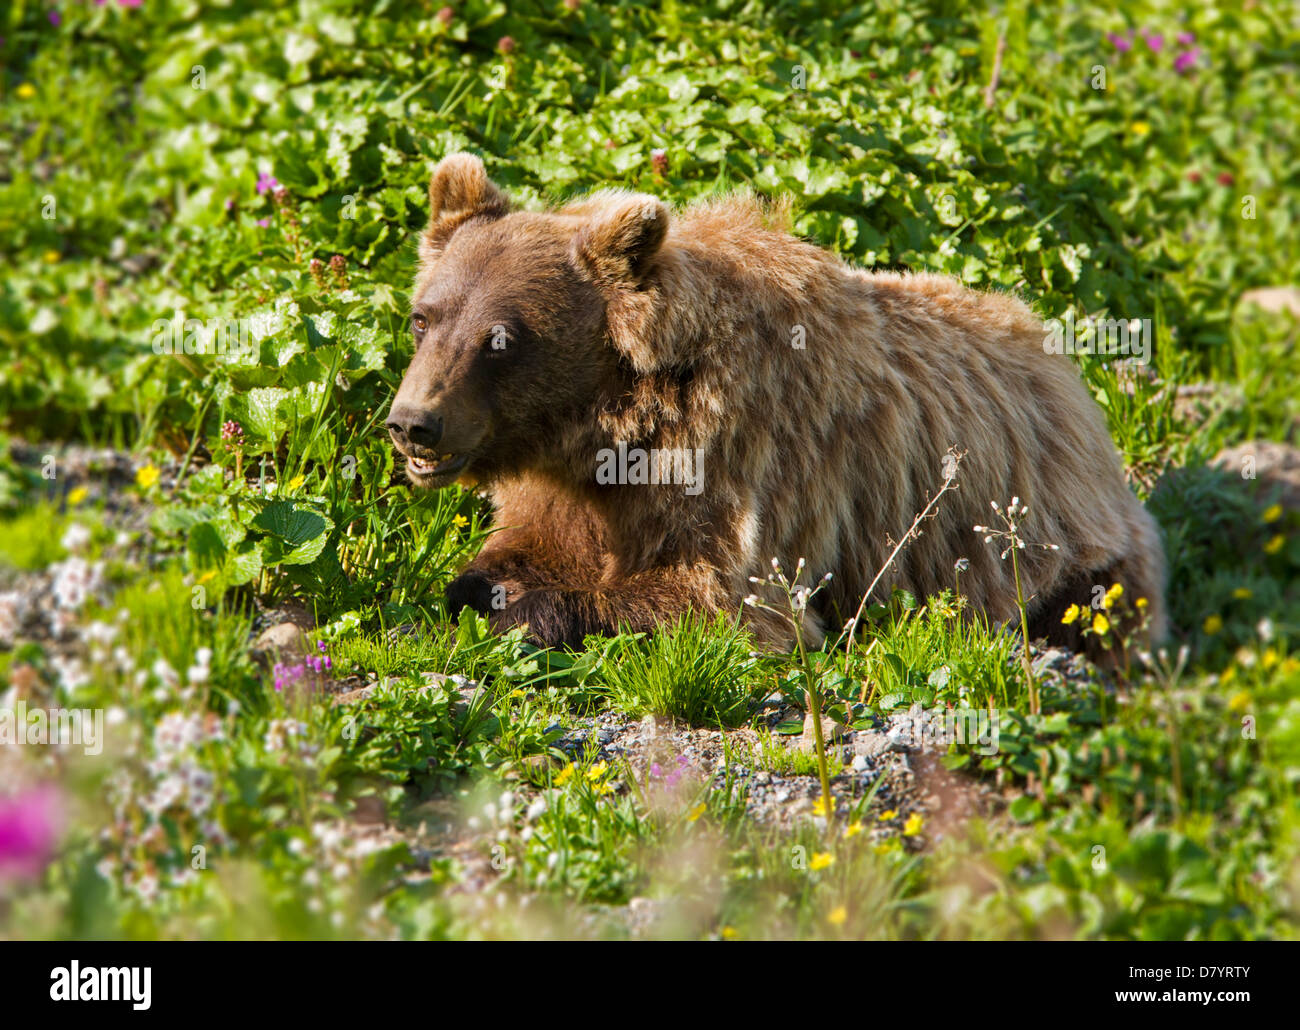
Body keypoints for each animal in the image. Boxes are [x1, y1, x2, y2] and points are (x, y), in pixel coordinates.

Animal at [384, 150, 1170, 660]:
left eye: (501, 340)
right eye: (424, 318)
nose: (413, 424)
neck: (610, 423)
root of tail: (1061, 363)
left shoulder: (742, 463)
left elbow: (722, 598)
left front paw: (531, 609)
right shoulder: (561, 488)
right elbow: (522, 546)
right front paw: (476, 587)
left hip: (1057, 539)